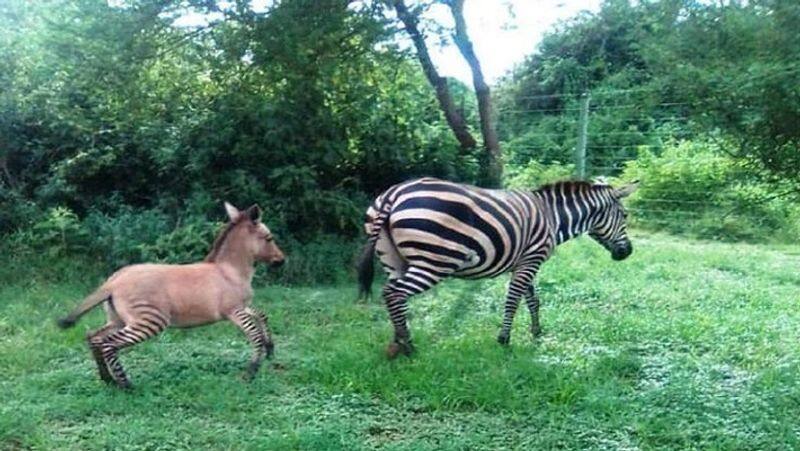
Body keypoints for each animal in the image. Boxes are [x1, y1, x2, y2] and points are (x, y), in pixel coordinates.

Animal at [55, 202, 284, 388]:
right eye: (269, 238)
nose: (282, 261)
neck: (229, 271)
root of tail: (113, 282)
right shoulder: (233, 310)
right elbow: (254, 335)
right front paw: (251, 372)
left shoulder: (242, 306)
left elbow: (262, 315)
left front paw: (270, 349)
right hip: (149, 320)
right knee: (108, 343)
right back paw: (126, 385)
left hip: (118, 319)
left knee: (94, 337)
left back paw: (107, 379)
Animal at [360, 178, 640, 358]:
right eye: (625, 216)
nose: (627, 253)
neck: (553, 217)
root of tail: (394, 193)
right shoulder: (531, 259)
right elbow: (513, 300)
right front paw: (504, 340)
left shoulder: (526, 261)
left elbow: (532, 299)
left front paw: (536, 332)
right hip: (435, 260)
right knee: (394, 293)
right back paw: (408, 346)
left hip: (394, 260)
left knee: (394, 297)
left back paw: (397, 342)